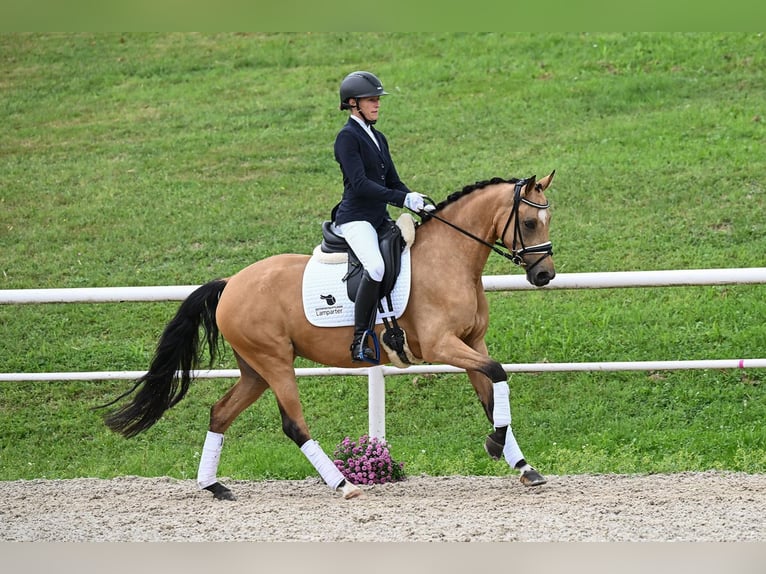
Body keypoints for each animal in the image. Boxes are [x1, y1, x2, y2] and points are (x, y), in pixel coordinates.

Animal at [100, 171, 560, 500]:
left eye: (547, 220)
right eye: (529, 221)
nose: (544, 276)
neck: (449, 258)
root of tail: (231, 283)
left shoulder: (472, 343)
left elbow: (491, 395)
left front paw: (522, 465)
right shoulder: (442, 345)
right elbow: (498, 373)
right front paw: (496, 446)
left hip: (255, 370)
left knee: (220, 412)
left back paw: (213, 486)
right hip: (275, 363)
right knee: (293, 424)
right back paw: (343, 484)